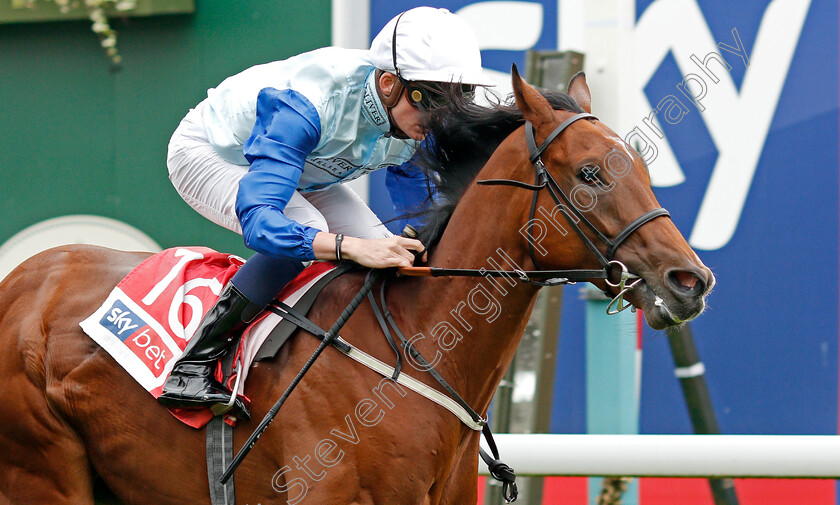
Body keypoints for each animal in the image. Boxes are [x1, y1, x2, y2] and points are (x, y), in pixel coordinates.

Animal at [0, 68, 712, 504]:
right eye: (591, 173)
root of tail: (24, 280)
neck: (417, 352)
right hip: (43, 471)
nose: (691, 280)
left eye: (642, 166)